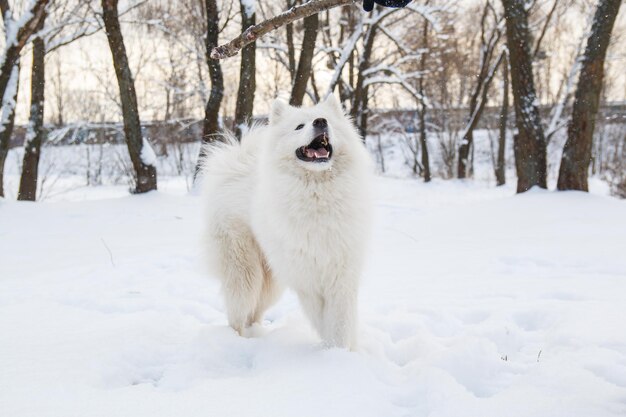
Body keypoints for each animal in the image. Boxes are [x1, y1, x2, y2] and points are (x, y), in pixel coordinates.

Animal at [202, 96, 370, 350]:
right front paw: (333, 352)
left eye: (328, 121)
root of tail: (236, 164)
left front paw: (345, 351)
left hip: (271, 282)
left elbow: (342, 321)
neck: (318, 196)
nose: (320, 122)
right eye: (299, 126)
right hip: (246, 273)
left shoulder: (342, 276)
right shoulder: (308, 281)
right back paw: (239, 342)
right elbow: (324, 322)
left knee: (254, 313)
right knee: (238, 315)